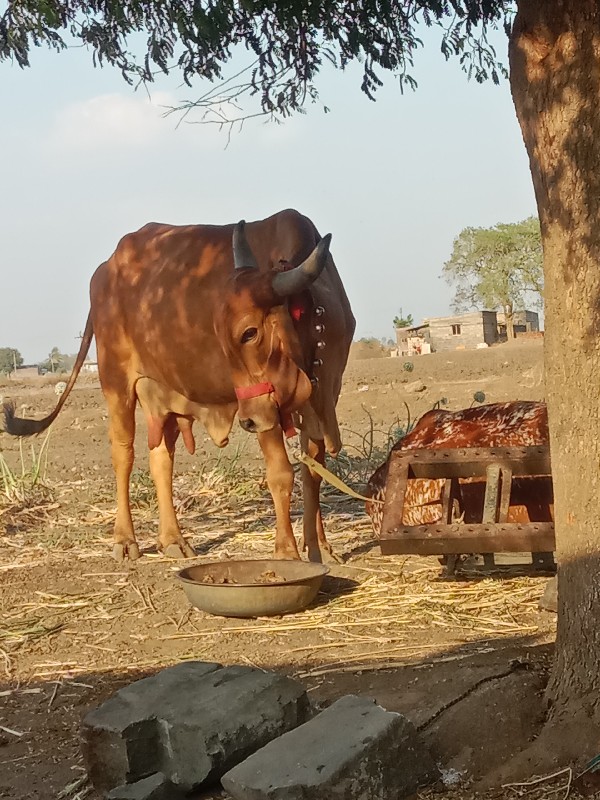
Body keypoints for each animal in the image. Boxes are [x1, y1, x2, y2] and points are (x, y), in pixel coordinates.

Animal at [2, 211, 354, 564]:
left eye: (249, 333)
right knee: (123, 454)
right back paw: (125, 540)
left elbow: (314, 472)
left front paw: (320, 548)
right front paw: (285, 552)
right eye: (222, 335)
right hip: (115, 381)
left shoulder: (324, 398)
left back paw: (172, 538)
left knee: (161, 459)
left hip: (164, 397)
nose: (246, 421)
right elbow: (281, 473)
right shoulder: (267, 409)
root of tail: (105, 270)